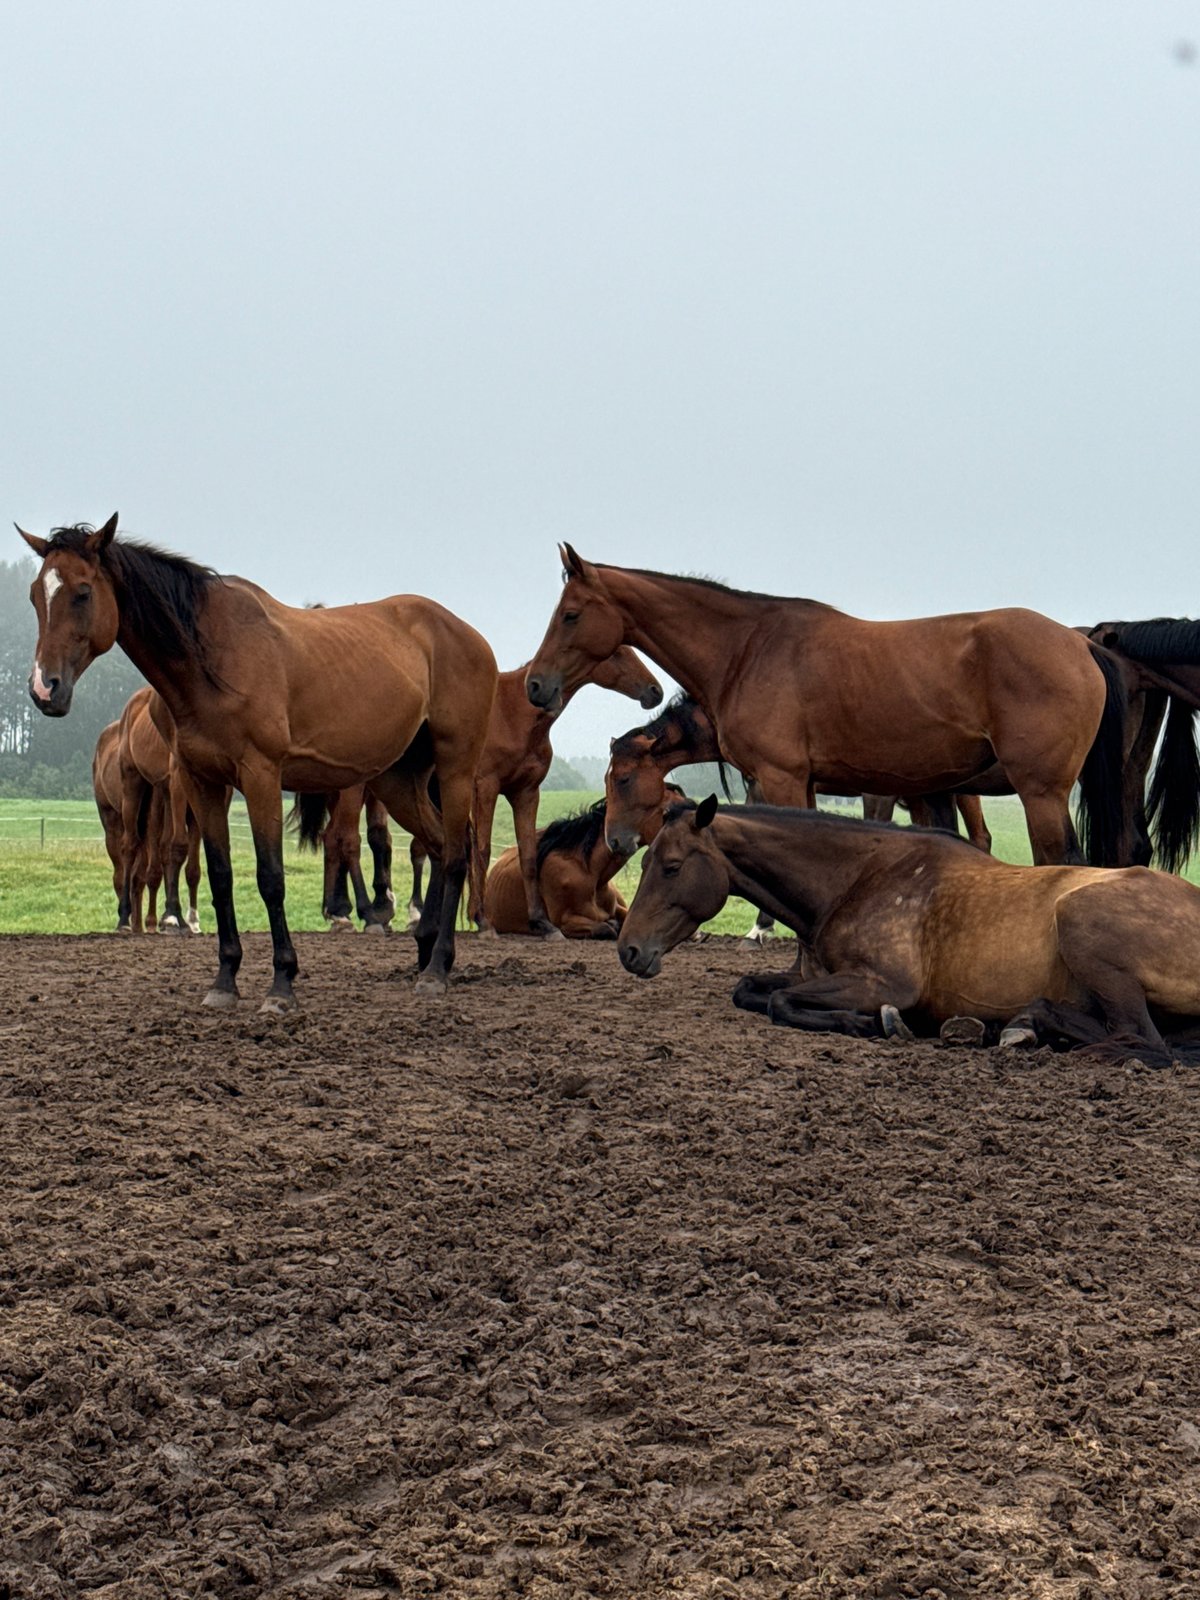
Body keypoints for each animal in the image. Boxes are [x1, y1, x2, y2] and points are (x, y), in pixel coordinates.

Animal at [21, 516, 497, 1011]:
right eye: (36, 595)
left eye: (82, 592)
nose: (44, 689)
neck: (212, 656)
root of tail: (468, 636)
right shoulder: (203, 783)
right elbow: (220, 875)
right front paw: (224, 980)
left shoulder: (261, 776)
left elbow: (271, 878)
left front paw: (282, 983)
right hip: (398, 780)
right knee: (438, 845)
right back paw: (425, 951)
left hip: (455, 767)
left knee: (457, 854)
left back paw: (437, 967)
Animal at [527, 548, 1141, 866]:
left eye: (571, 614)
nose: (535, 686)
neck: (747, 648)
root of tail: (1079, 644)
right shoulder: (805, 784)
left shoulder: (782, 778)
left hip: (1040, 793)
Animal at [617, 798, 1200, 1067]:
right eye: (644, 861)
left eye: (671, 866)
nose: (629, 950)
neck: (857, 878)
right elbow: (749, 990)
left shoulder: (884, 983)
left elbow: (781, 1002)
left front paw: (870, 1024)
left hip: (1082, 924)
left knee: (1144, 1041)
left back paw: (1016, 1026)